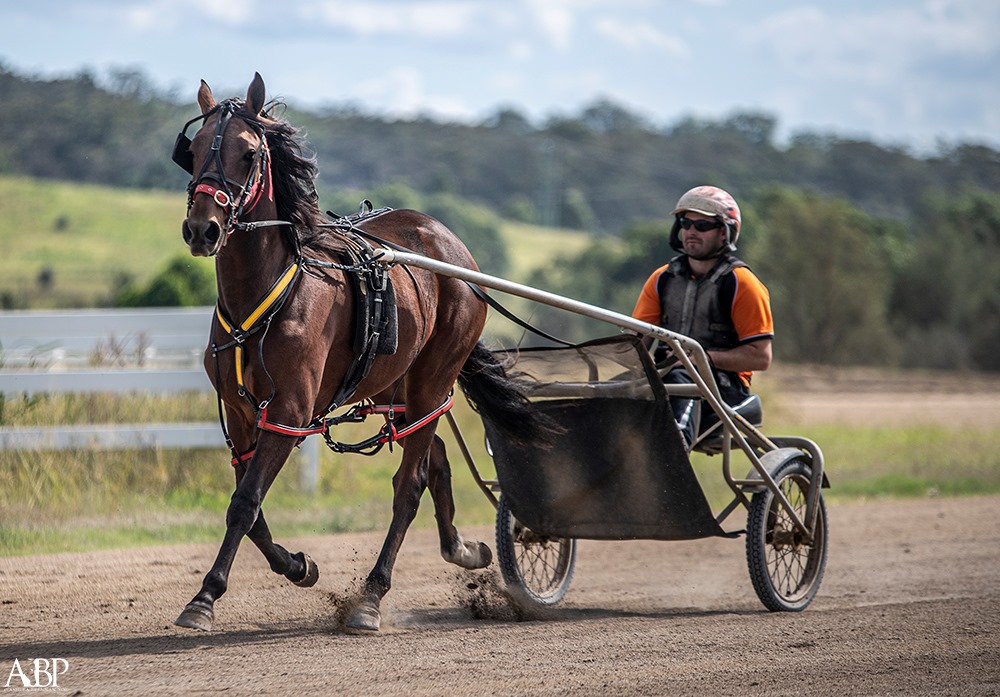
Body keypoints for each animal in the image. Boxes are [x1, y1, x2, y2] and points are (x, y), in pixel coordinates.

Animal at [174, 72, 548, 632]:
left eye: (247, 153)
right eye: (194, 150)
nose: (203, 229)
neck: (268, 293)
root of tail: (452, 247)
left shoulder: (289, 412)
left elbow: (245, 503)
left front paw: (204, 598)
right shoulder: (240, 414)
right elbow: (252, 511)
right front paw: (298, 565)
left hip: (433, 380)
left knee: (409, 485)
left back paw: (372, 596)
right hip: (396, 384)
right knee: (435, 458)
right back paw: (461, 549)